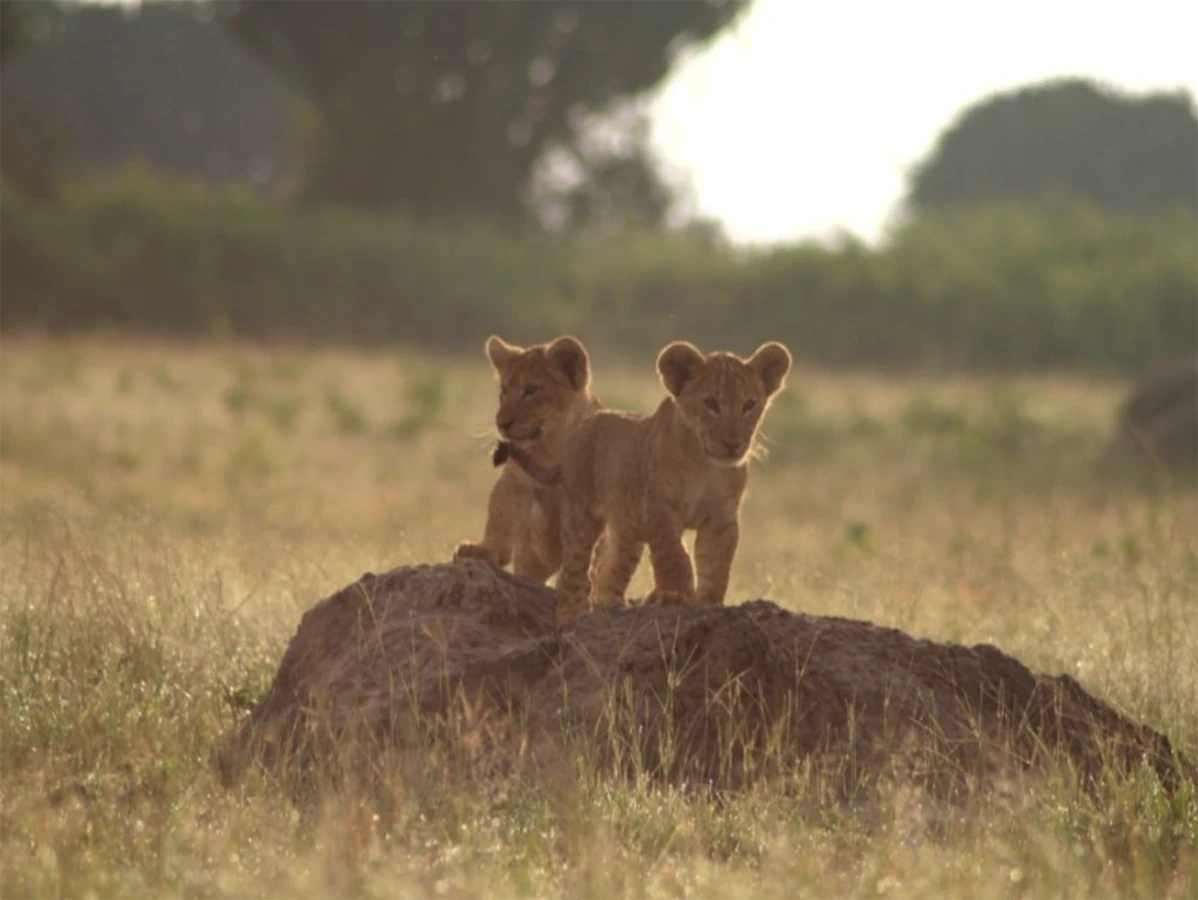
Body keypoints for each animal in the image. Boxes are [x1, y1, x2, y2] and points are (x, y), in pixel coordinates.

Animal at [453, 334, 602, 582]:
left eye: (531, 389)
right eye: (504, 390)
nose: (501, 423)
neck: (550, 448)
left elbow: (583, 543)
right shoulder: (515, 480)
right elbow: (499, 517)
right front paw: (482, 550)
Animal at [502, 340, 792, 623]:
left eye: (749, 404)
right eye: (711, 403)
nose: (733, 444)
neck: (705, 464)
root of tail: (579, 428)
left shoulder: (722, 518)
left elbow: (716, 566)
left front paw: (709, 604)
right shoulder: (658, 508)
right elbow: (674, 558)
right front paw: (677, 596)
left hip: (627, 530)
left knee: (611, 569)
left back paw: (612, 606)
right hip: (581, 515)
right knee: (573, 567)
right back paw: (571, 615)